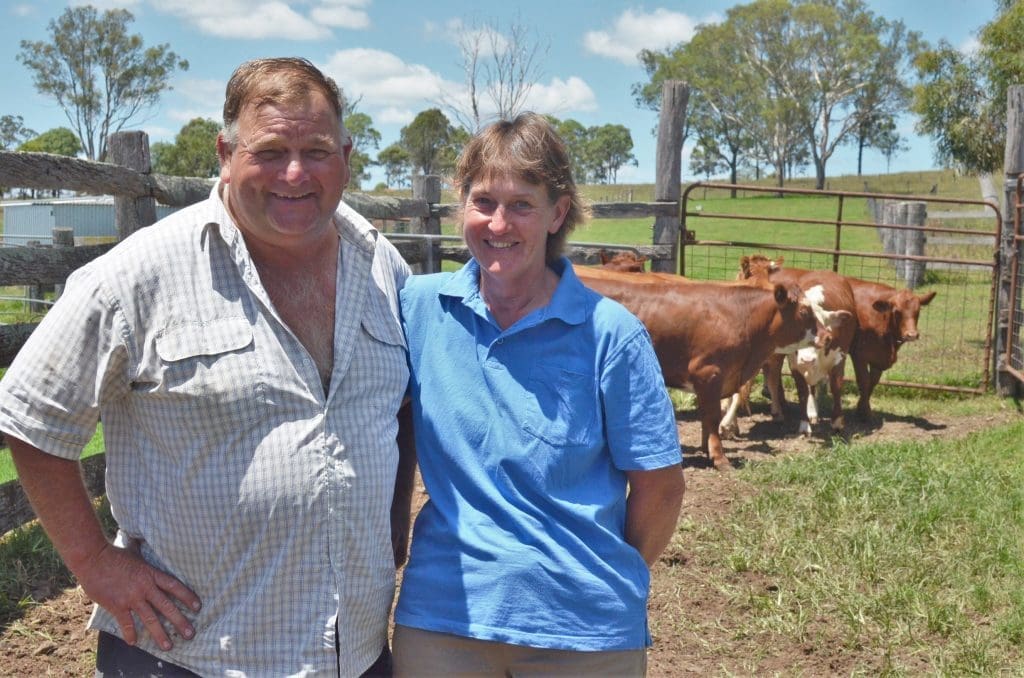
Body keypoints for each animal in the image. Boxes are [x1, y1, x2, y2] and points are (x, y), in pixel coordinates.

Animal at [573, 266, 819, 473]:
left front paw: (706, 449)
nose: (824, 335)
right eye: (804, 312)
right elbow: (712, 417)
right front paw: (719, 458)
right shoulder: (709, 373)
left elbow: (707, 417)